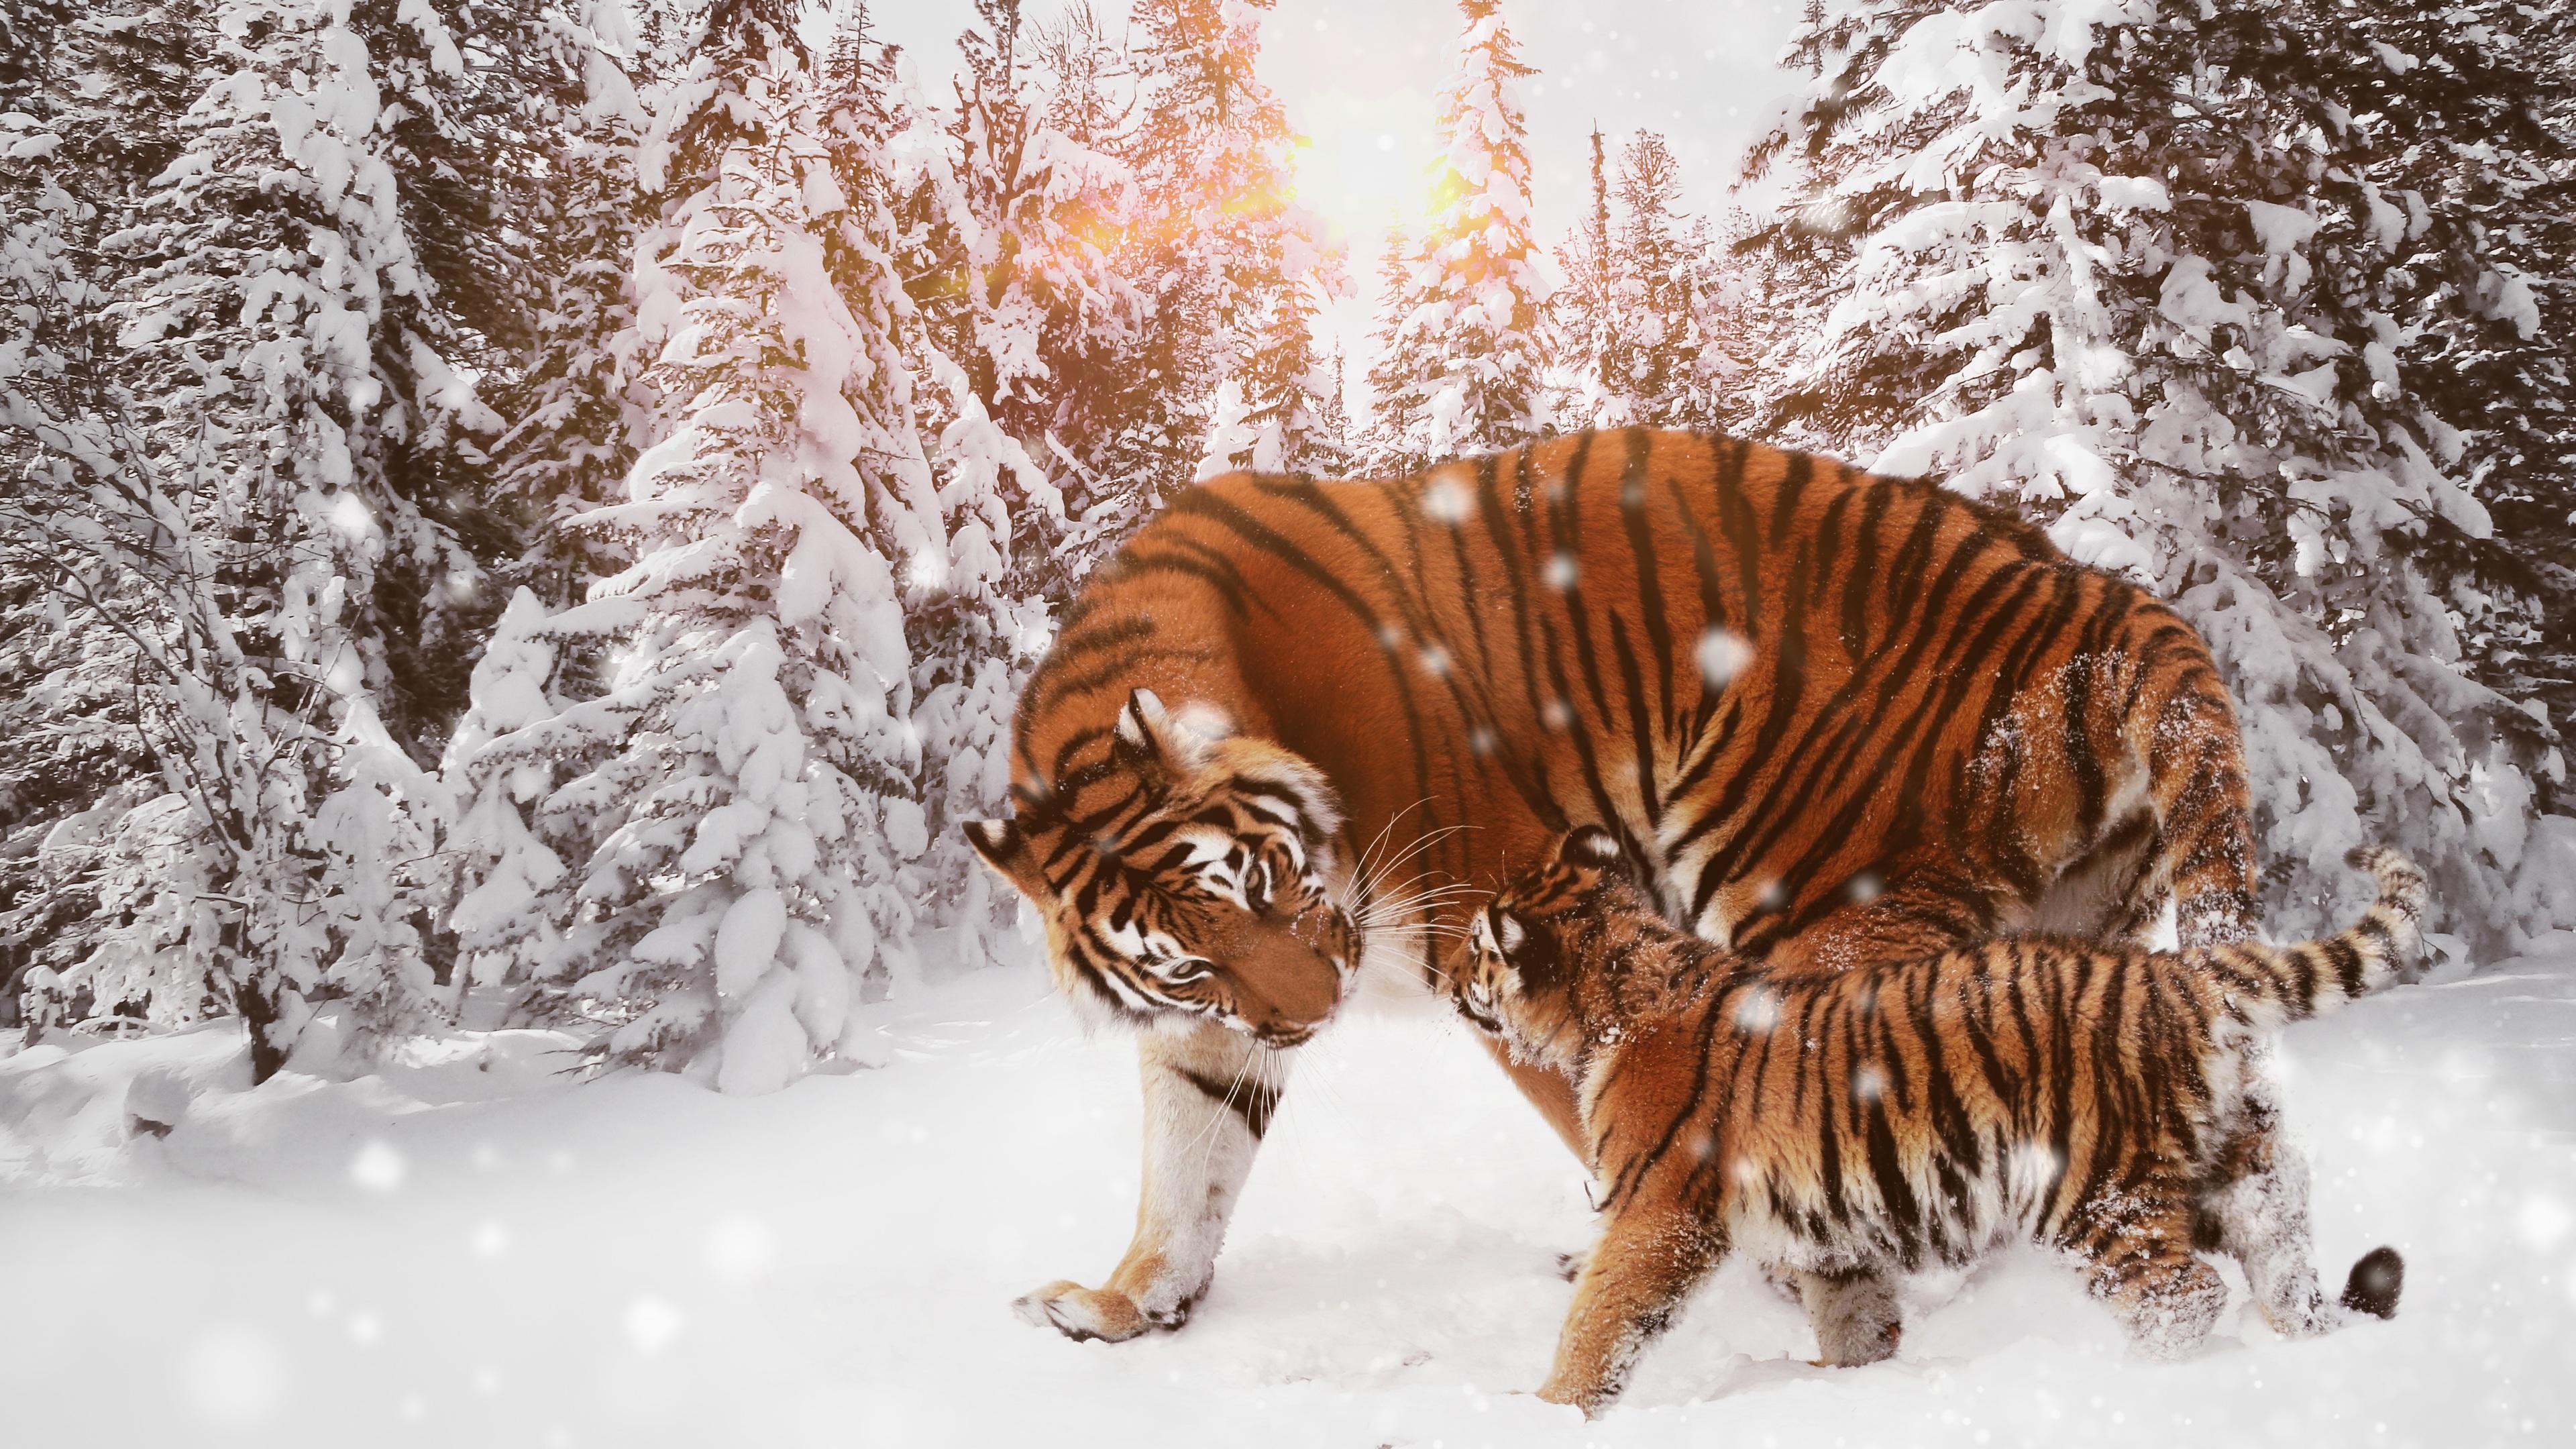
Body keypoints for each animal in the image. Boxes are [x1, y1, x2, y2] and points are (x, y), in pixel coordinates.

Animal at [962, 428, 2269, 1355]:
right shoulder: (1214, 1024)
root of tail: (2095, 595)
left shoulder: (1495, 918)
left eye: (1271, 883)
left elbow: (1596, 1105)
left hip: (1811, 901)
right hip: (2063, 937)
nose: (1317, 1012)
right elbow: (1188, 1162)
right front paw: (1129, 1305)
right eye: (1191, 959)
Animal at [1448, 826, 2415, 1414]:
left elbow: (1601, 1319)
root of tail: (2179, 974)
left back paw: (2133, 1382)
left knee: (2183, 1296)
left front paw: (1547, 1410)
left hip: (2094, 1191)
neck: (1614, 990)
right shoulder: (1828, 1228)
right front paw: (1843, 1383)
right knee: (2280, 1248)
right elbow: (1853, 1316)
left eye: (1475, 949)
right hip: (2238, 1165)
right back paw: (2309, 1340)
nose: (1451, 980)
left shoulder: (1658, 1213)